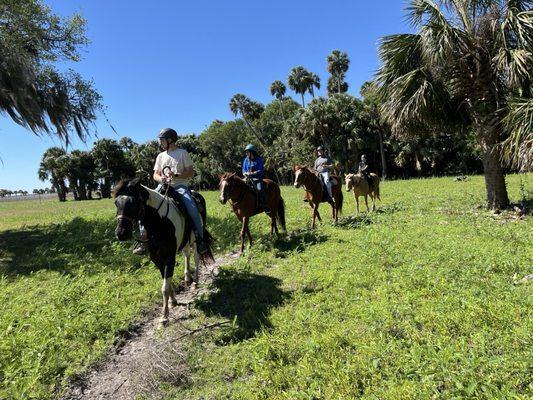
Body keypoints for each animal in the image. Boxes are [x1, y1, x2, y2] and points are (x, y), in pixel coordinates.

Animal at [113, 178, 213, 324]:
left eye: (134, 202)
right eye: (116, 203)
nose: (121, 233)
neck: (159, 222)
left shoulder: (170, 256)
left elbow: (165, 287)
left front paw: (164, 316)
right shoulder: (156, 258)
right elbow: (167, 282)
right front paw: (172, 301)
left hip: (196, 240)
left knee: (196, 257)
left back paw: (195, 282)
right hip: (185, 241)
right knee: (187, 254)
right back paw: (187, 277)